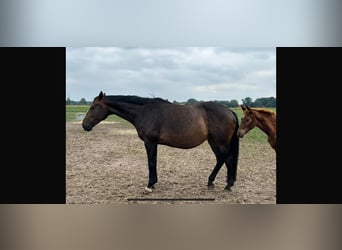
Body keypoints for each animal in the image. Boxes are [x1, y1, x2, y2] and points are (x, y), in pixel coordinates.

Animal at [82, 91, 239, 192]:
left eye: (93, 107)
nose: (85, 125)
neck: (144, 111)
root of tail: (230, 111)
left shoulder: (150, 142)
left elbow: (151, 162)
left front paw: (149, 185)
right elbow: (154, 161)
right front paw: (153, 183)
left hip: (221, 142)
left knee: (228, 159)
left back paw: (227, 185)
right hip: (213, 141)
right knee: (221, 159)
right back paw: (212, 182)